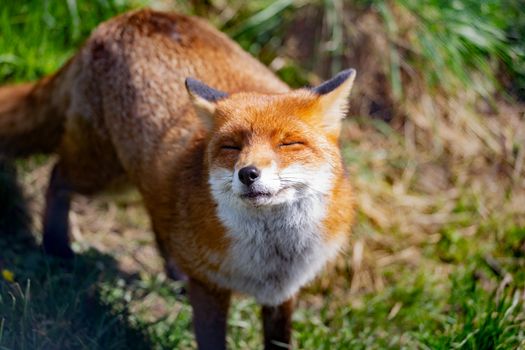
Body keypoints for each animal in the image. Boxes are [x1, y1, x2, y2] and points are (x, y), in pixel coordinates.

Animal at [0, 8, 356, 350]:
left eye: (288, 144)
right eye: (231, 146)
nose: (248, 173)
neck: (272, 257)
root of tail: (127, 17)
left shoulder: (283, 293)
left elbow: (278, 340)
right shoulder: (210, 287)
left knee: (156, 216)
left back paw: (174, 270)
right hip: (102, 172)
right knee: (57, 175)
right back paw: (56, 247)